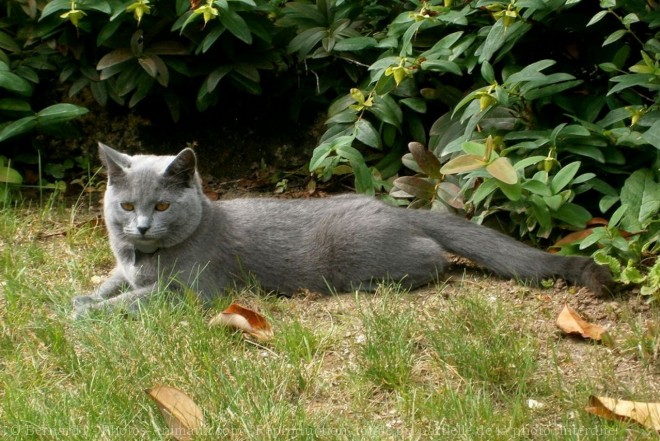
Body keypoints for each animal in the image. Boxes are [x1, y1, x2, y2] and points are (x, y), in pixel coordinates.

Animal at [72, 143, 612, 318]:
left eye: (162, 205)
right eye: (126, 206)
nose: (142, 227)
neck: (143, 259)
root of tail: (395, 210)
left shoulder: (190, 292)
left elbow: (135, 299)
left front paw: (86, 314)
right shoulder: (127, 267)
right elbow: (113, 281)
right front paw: (85, 296)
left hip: (359, 255)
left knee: (436, 260)